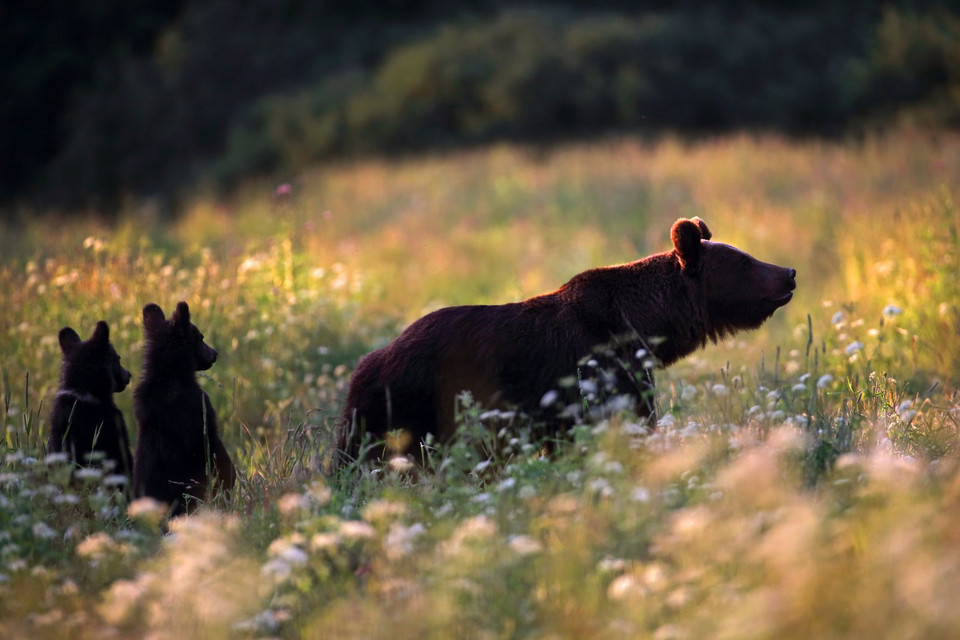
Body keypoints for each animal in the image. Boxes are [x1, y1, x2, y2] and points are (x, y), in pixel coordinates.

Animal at [338, 218, 796, 462]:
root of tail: (368, 359)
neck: (645, 325)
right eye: (745, 261)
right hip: (404, 405)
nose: (789, 272)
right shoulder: (600, 369)